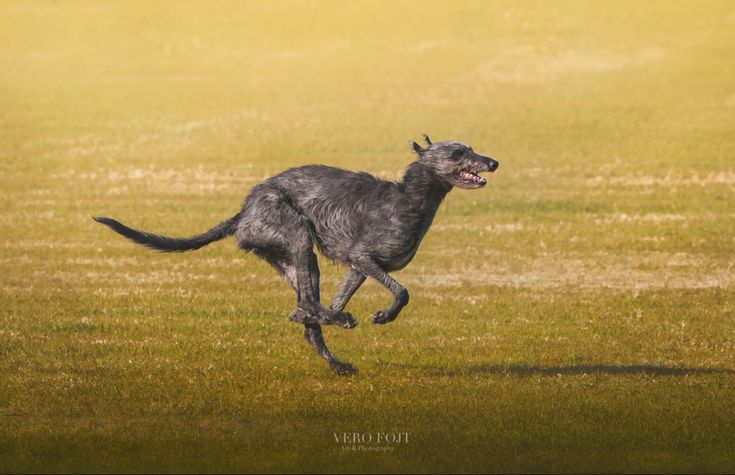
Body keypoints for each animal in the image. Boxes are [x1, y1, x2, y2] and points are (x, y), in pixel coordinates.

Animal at [95, 137, 500, 376]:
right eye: (458, 153)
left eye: (470, 147)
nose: (493, 163)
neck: (408, 200)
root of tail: (244, 211)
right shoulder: (362, 257)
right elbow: (402, 292)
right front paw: (383, 316)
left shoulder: (357, 268)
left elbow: (343, 297)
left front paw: (346, 316)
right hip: (298, 236)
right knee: (304, 306)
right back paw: (341, 322)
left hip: (297, 259)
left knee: (304, 315)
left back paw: (336, 357)